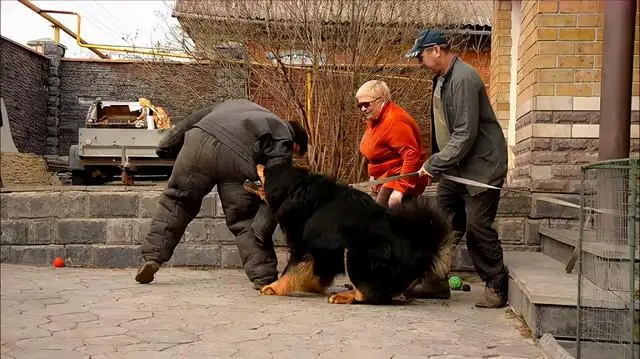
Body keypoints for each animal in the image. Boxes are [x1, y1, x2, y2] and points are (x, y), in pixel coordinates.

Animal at [248, 165, 452, 306]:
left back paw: (343, 296)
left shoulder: (305, 245)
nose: (257, 162)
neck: (297, 190)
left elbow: (291, 270)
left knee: (368, 294)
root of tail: (416, 249)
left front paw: (274, 287)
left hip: (355, 252)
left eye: (265, 170)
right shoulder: (321, 249)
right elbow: (315, 271)